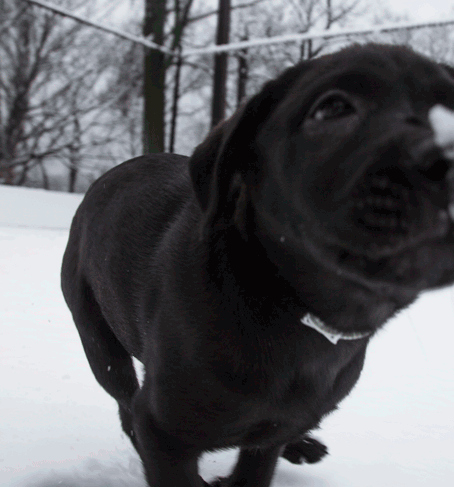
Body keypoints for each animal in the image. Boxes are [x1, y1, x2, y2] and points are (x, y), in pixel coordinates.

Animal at [62, 43, 454, 486]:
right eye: (332, 108)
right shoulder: (163, 430)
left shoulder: (270, 437)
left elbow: (259, 463)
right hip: (98, 340)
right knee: (124, 401)